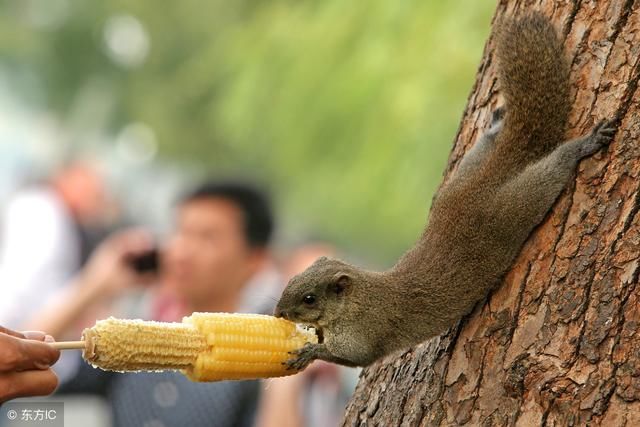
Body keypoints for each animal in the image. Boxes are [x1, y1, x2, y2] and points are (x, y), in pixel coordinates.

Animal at [278, 12, 616, 368]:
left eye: (309, 298)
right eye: (291, 280)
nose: (279, 311)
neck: (360, 300)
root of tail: (482, 184)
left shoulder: (364, 334)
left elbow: (352, 357)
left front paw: (309, 352)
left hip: (518, 202)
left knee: (554, 168)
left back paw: (585, 145)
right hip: (466, 170)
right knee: (488, 145)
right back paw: (496, 125)